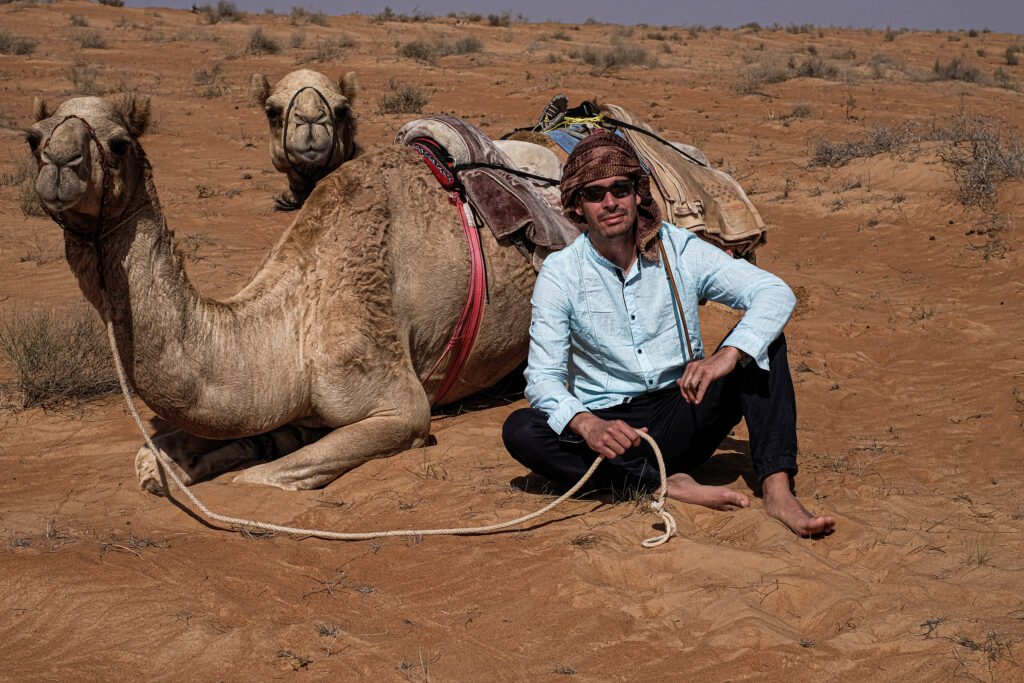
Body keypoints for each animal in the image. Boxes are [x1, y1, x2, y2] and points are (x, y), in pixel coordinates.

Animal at [27, 94, 537, 492]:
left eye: (119, 143)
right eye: (33, 139)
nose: (60, 165)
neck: (290, 327)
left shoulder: (399, 406)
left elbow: (260, 478)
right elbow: (153, 457)